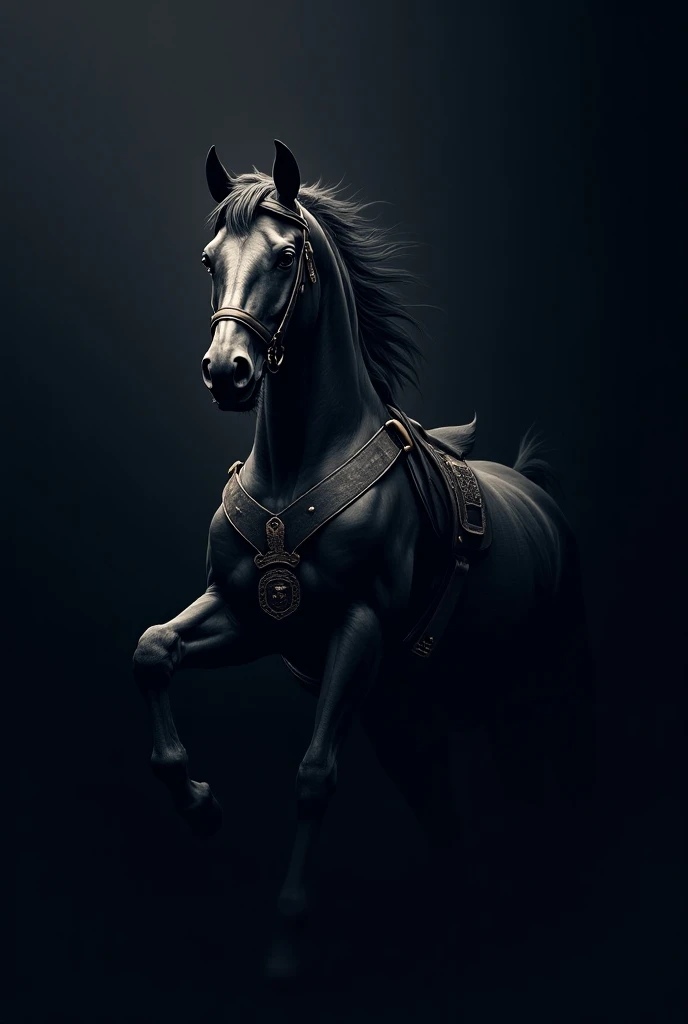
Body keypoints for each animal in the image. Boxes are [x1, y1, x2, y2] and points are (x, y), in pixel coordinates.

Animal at [133, 140, 592, 973]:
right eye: (209, 259)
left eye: (286, 255)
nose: (226, 372)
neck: (297, 467)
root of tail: (536, 491)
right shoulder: (247, 614)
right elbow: (153, 650)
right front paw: (202, 804)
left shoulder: (360, 626)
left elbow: (316, 775)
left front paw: (285, 942)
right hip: (432, 715)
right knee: (457, 811)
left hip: (553, 681)